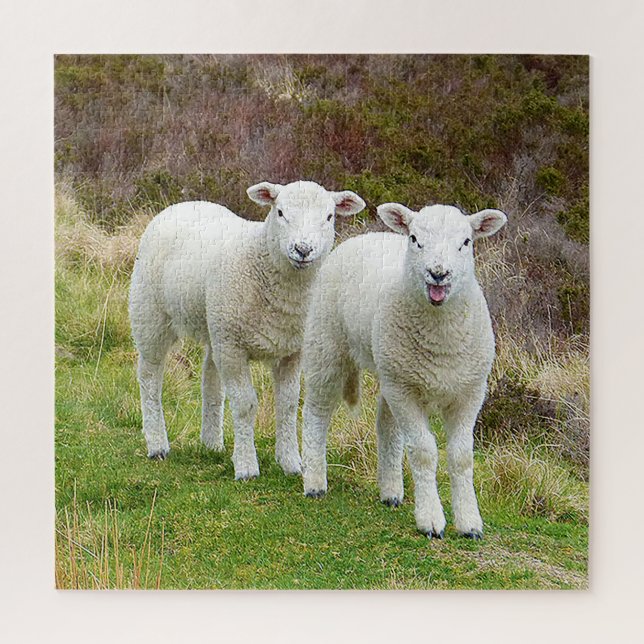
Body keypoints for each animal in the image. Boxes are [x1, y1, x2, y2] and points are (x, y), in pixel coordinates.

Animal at [129, 181, 366, 480]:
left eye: (329, 217)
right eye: (280, 212)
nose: (302, 249)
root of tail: (182, 204)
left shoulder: (292, 351)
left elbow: (288, 405)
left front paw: (291, 462)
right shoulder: (233, 349)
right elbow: (244, 405)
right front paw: (246, 466)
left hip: (216, 327)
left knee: (210, 378)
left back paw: (211, 442)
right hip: (151, 313)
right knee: (149, 377)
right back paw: (157, 443)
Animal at [301, 202, 507, 539]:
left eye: (466, 242)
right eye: (414, 239)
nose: (438, 274)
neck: (441, 336)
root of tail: (367, 235)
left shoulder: (469, 393)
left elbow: (462, 457)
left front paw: (469, 522)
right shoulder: (406, 392)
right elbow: (424, 451)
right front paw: (431, 519)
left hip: (392, 370)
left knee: (386, 425)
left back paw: (391, 491)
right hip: (328, 345)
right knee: (316, 414)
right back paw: (315, 482)